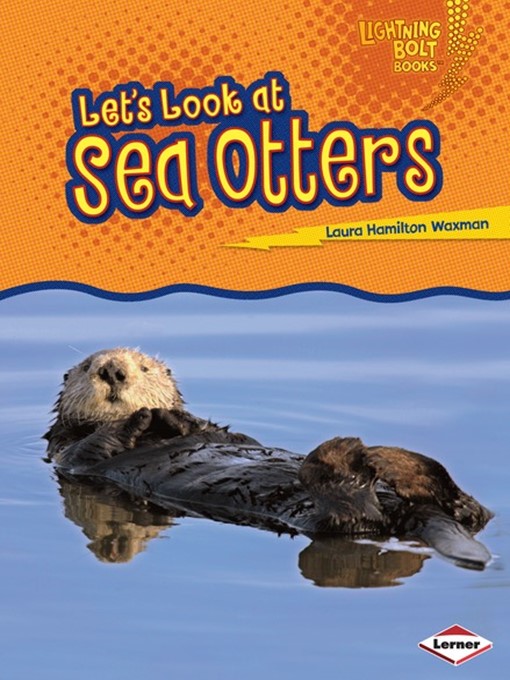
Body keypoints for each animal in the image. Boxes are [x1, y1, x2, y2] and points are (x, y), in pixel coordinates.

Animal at [45, 348, 494, 569]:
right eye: (87, 366)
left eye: (143, 367)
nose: (113, 371)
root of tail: (407, 509)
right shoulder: (69, 453)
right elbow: (94, 446)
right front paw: (141, 416)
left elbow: (212, 429)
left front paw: (176, 417)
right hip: (335, 518)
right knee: (351, 511)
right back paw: (350, 454)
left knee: (474, 510)